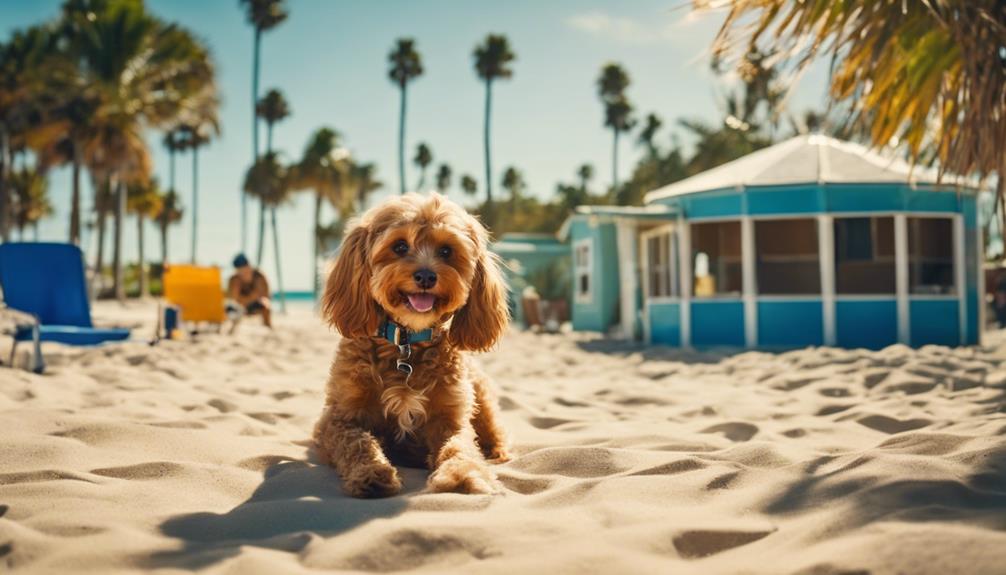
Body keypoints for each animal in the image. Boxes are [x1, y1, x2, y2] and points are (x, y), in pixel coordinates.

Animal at [313, 190, 515, 496]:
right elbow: (357, 443)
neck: (405, 344)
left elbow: (460, 448)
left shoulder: (451, 418)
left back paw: (497, 452)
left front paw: (463, 475)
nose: (426, 276)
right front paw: (371, 472)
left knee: (493, 431)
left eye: (446, 251)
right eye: (399, 246)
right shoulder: (339, 418)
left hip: (480, 394)